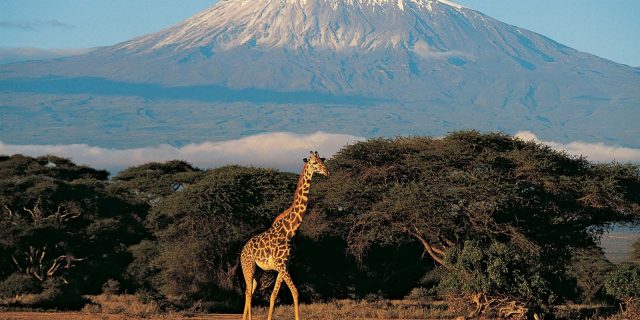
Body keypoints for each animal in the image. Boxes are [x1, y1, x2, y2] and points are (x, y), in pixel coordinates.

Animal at [240, 151, 330, 320]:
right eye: (314, 163)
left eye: (322, 161)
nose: (327, 172)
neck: (290, 231)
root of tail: (242, 250)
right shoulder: (281, 266)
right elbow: (295, 292)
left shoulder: (284, 266)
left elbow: (274, 295)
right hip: (248, 266)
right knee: (248, 292)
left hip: (259, 271)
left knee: (250, 291)